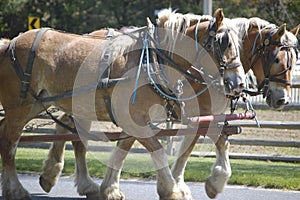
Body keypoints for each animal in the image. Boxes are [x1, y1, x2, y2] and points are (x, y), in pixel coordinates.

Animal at [38, 8, 246, 199]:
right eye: (224, 42)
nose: (240, 84)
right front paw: (178, 187)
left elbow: (123, 150)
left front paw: (111, 188)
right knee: (72, 133)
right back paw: (62, 176)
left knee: (71, 131)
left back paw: (67, 179)